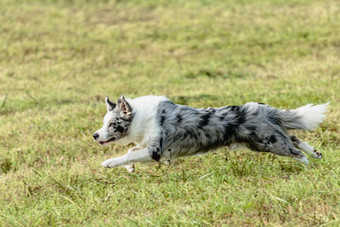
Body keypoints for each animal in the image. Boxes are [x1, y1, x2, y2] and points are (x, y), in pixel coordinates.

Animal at [93, 95, 330, 172]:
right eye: (104, 123)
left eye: (112, 124)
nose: (95, 135)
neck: (139, 117)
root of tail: (265, 109)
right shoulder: (149, 147)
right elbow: (131, 151)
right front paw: (131, 168)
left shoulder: (156, 151)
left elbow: (128, 153)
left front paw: (108, 163)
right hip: (264, 140)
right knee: (294, 138)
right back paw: (316, 153)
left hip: (268, 142)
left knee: (295, 150)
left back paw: (308, 166)